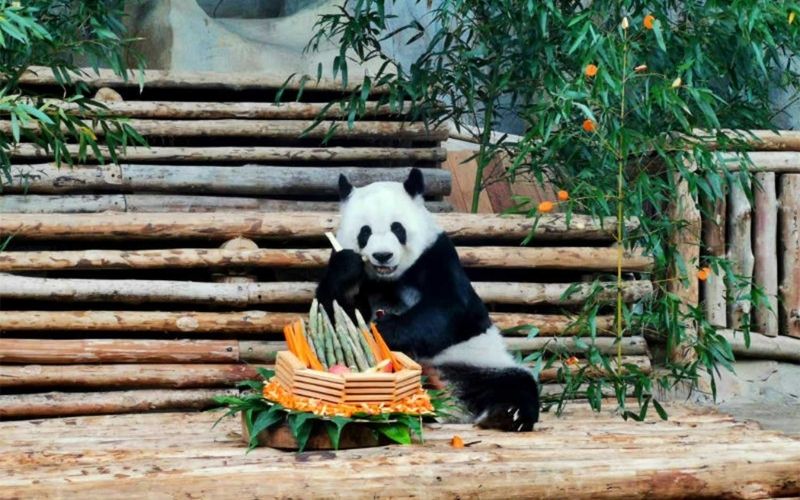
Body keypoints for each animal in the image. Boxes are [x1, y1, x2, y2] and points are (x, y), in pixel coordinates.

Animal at [316, 168, 539, 432]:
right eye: (365, 232)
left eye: (397, 228)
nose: (382, 255)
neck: (389, 278)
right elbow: (333, 314)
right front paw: (348, 270)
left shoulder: (437, 255)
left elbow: (448, 309)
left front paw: (382, 332)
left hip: (479, 363)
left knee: (517, 383)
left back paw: (507, 414)